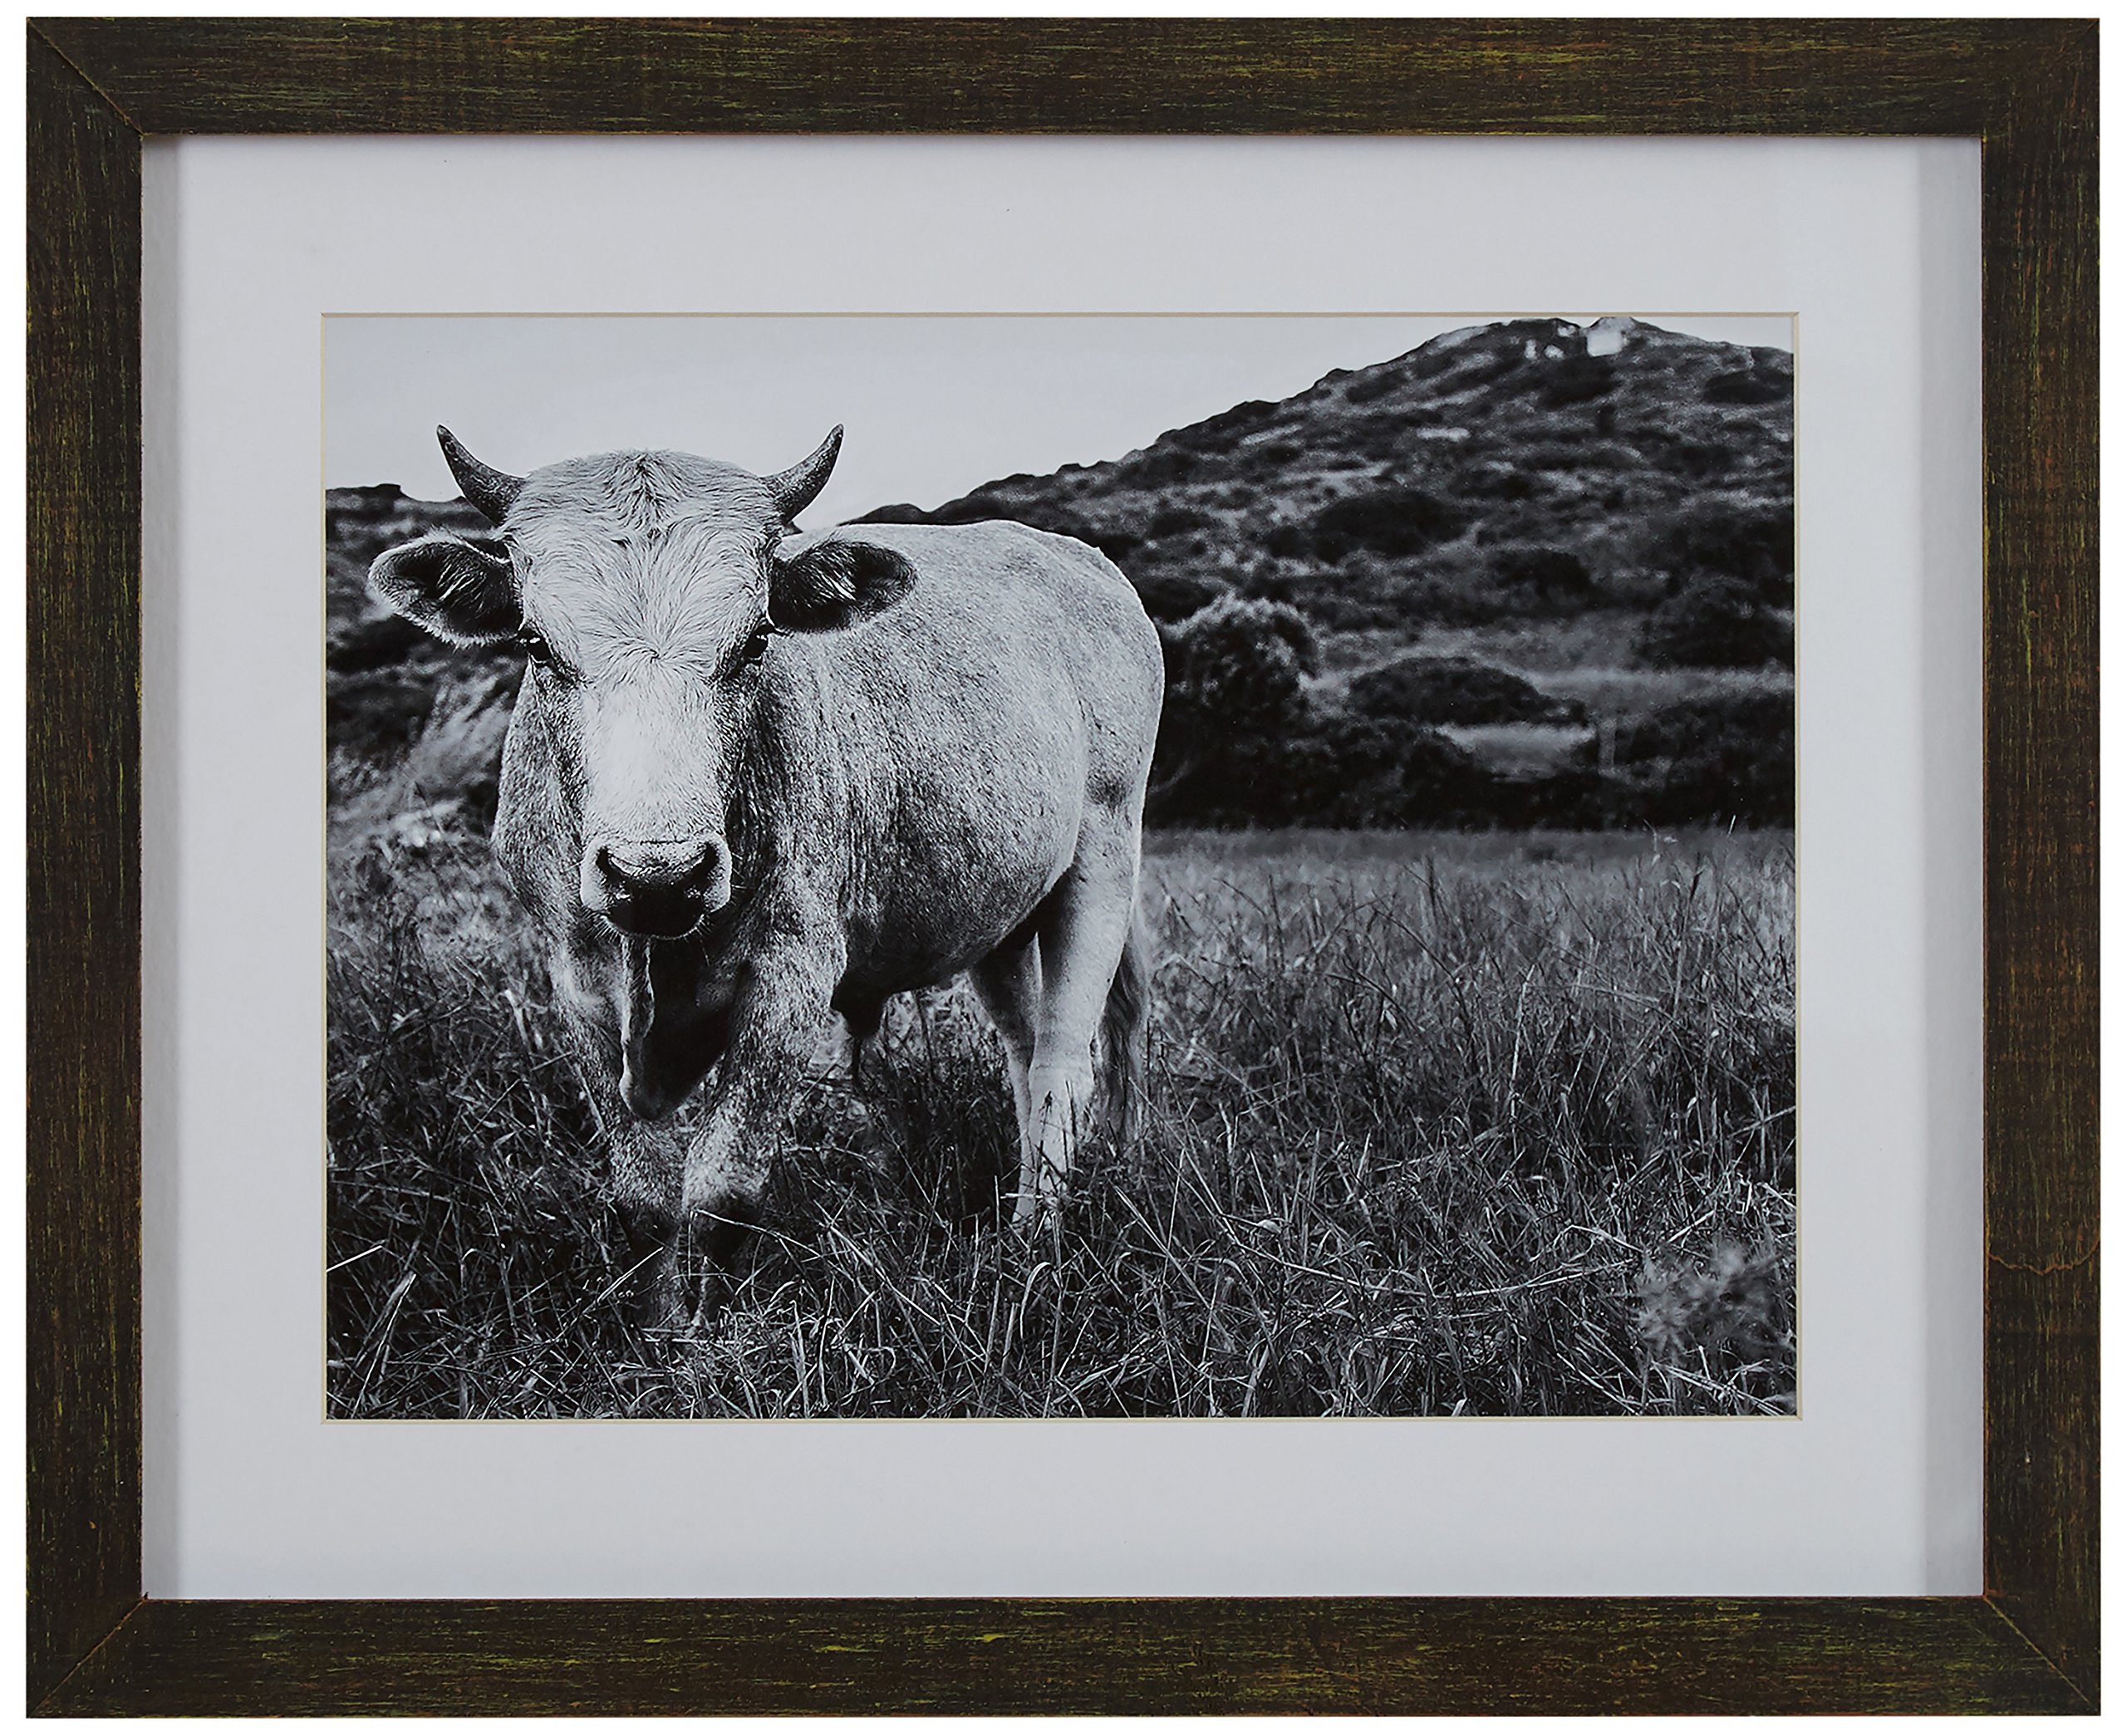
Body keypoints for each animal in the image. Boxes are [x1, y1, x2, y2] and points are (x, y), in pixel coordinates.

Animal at [368, 426, 1165, 1324]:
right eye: (536, 644)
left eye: (755, 640)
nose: (657, 877)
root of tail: (1076, 558)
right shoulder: (576, 982)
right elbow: (644, 1198)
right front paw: (657, 1331)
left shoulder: (788, 984)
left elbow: (720, 1193)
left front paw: (708, 1339)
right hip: (1002, 914)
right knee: (1027, 1053)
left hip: (1103, 859)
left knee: (1069, 1061)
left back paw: (1033, 1248)